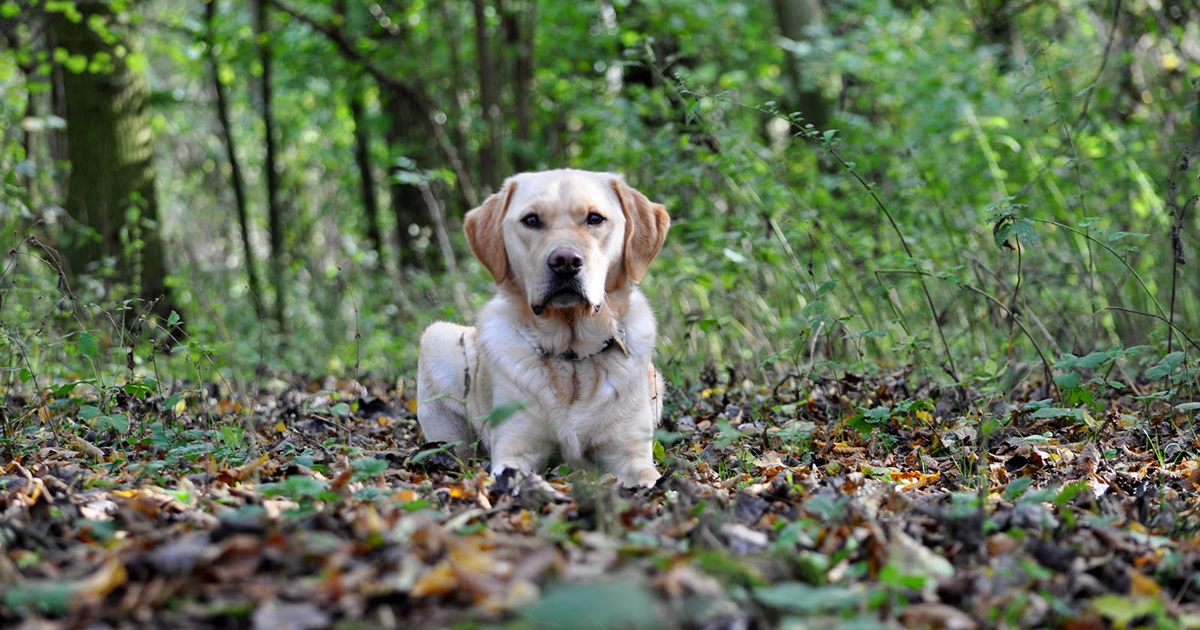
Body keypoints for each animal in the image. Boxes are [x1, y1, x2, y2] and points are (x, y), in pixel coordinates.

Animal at [417, 169, 672, 489]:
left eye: (595, 218)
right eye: (531, 220)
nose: (565, 261)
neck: (571, 356)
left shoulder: (630, 453)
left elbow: (648, 477)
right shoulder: (516, 446)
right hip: (437, 341)